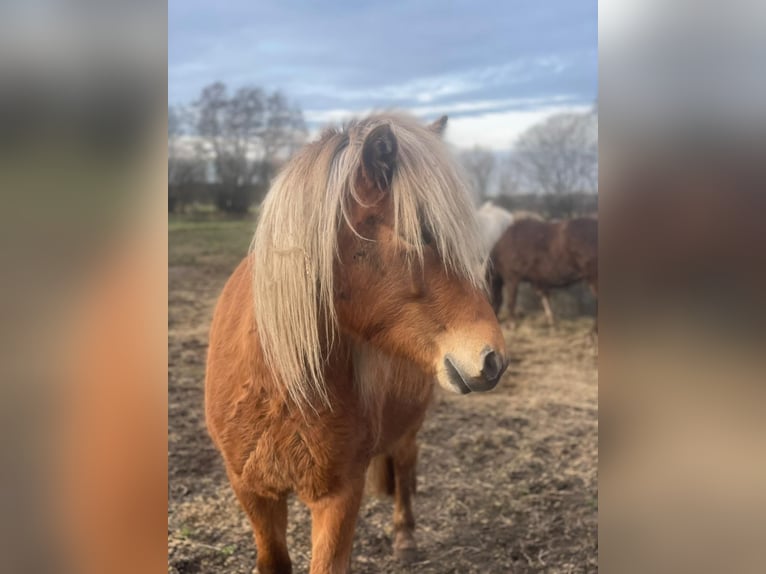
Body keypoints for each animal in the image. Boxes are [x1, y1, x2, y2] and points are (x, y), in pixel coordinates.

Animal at [205, 113, 508, 574]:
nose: (493, 360)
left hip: (409, 428)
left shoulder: (340, 495)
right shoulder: (252, 491)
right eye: (419, 233)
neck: (286, 385)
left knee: (405, 467)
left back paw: (405, 537)